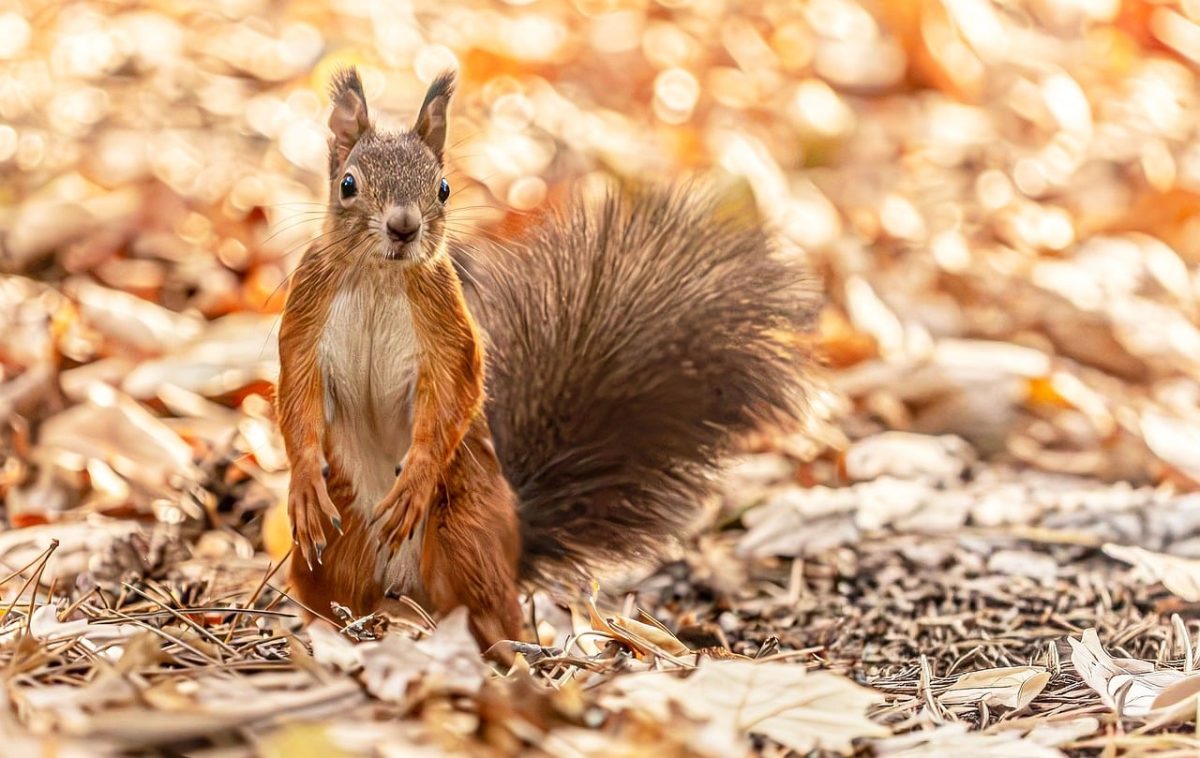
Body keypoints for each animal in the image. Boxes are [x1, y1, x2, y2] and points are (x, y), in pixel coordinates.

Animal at [277, 68, 817, 653]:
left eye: (442, 188)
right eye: (348, 184)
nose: (403, 226)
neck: (380, 276)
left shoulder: (448, 329)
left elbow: (455, 395)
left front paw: (414, 480)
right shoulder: (306, 313)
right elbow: (296, 397)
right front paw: (304, 482)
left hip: (467, 531)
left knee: (494, 611)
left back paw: (507, 650)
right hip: (336, 545)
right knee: (338, 597)